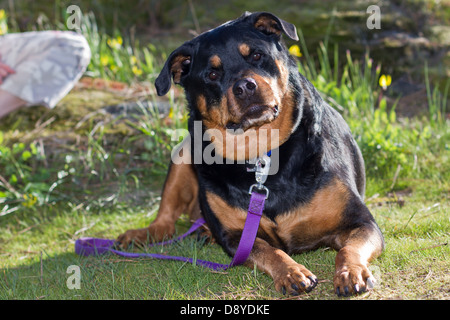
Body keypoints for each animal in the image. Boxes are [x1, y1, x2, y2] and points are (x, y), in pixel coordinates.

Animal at [118, 12, 384, 298]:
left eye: (256, 55)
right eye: (212, 73)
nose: (245, 86)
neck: (260, 153)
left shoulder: (362, 222)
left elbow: (349, 248)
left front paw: (351, 272)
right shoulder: (235, 237)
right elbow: (268, 250)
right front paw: (292, 272)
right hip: (183, 153)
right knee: (165, 221)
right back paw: (145, 233)